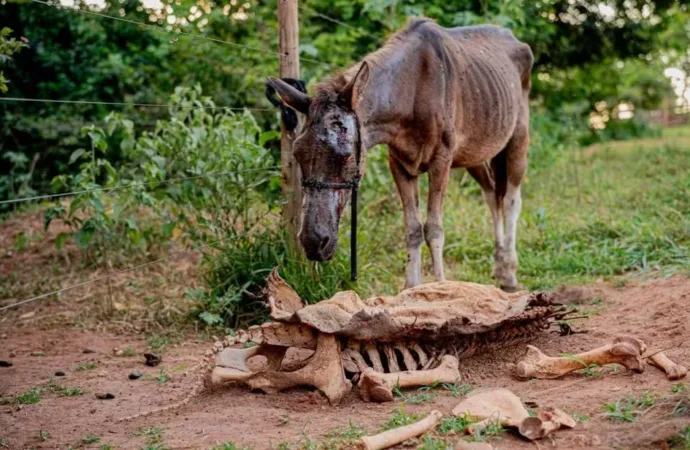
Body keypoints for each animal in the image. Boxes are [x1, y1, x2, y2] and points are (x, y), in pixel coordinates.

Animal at [268, 17, 533, 292]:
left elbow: (434, 229)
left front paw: (442, 287)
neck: (406, 102)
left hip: (518, 137)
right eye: (297, 153)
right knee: (492, 193)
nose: (313, 242)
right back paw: (499, 268)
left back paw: (510, 274)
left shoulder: (441, 160)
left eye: (346, 155)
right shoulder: (399, 163)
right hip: (475, 152)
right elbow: (412, 229)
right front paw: (411, 289)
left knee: (511, 199)